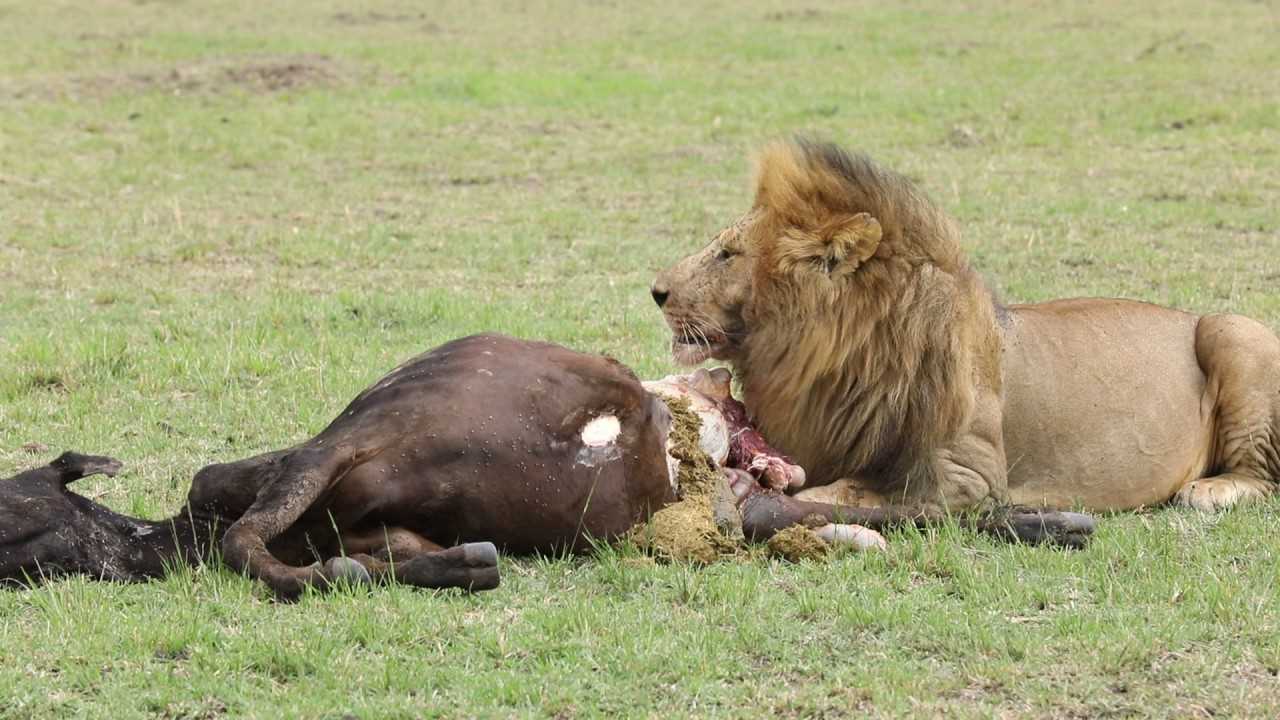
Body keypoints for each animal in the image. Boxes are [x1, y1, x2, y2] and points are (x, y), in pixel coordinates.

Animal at [650, 138, 1280, 515]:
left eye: (727, 254)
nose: (655, 291)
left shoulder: (968, 476)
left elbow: (852, 492)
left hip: (1233, 332)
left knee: (1262, 475)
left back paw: (1208, 490)